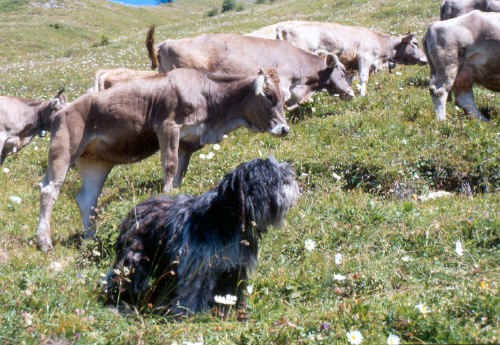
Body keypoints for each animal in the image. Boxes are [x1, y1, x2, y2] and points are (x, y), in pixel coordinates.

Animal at [35, 67, 290, 251]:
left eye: (284, 97)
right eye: (268, 96)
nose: (284, 129)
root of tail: (62, 110)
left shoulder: (187, 143)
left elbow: (179, 174)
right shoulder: (168, 127)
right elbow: (169, 167)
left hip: (95, 163)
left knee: (87, 200)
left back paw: (91, 239)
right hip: (63, 149)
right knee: (49, 190)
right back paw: (44, 242)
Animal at [104, 157, 298, 316]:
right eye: (274, 179)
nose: (291, 176)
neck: (225, 218)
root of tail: (134, 211)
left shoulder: (233, 266)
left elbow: (231, 289)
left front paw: (232, 310)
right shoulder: (197, 264)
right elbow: (193, 291)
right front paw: (190, 313)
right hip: (134, 257)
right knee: (122, 277)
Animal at [274, 20, 426, 96]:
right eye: (415, 43)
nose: (425, 60)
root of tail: (283, 28)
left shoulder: (350, 65)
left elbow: (349, 79)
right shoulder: (364, 57)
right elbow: (364, 78)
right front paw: (363, 95)